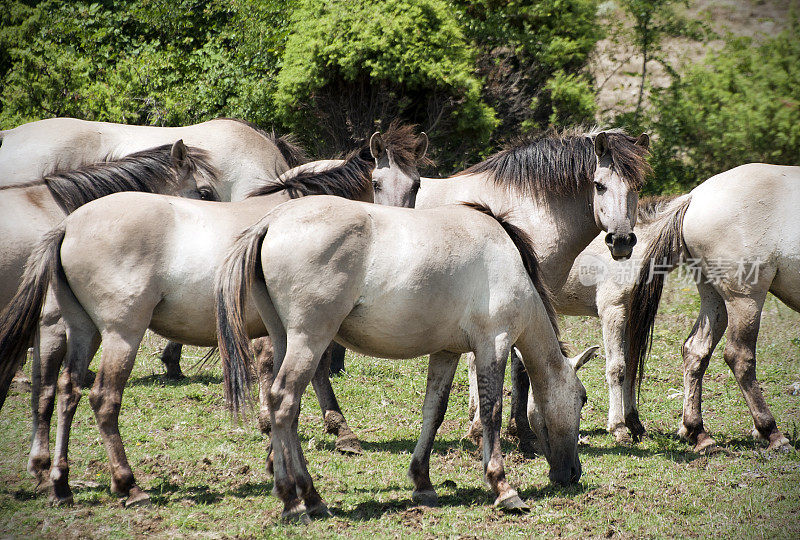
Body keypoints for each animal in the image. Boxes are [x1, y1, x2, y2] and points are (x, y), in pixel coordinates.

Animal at [216, 195, 596, 520]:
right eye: (583, 398)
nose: (571, 474)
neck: (508, 259)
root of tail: (272, 221)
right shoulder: (494, 343)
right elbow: (492, 413)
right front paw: (503, 488)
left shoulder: (447, 351)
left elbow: (434, 411)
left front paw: (423, 483)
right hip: (309, 339)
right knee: (284, 402)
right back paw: (295, 500)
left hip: (285, 339)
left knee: (284, 409)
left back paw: (309, 498)